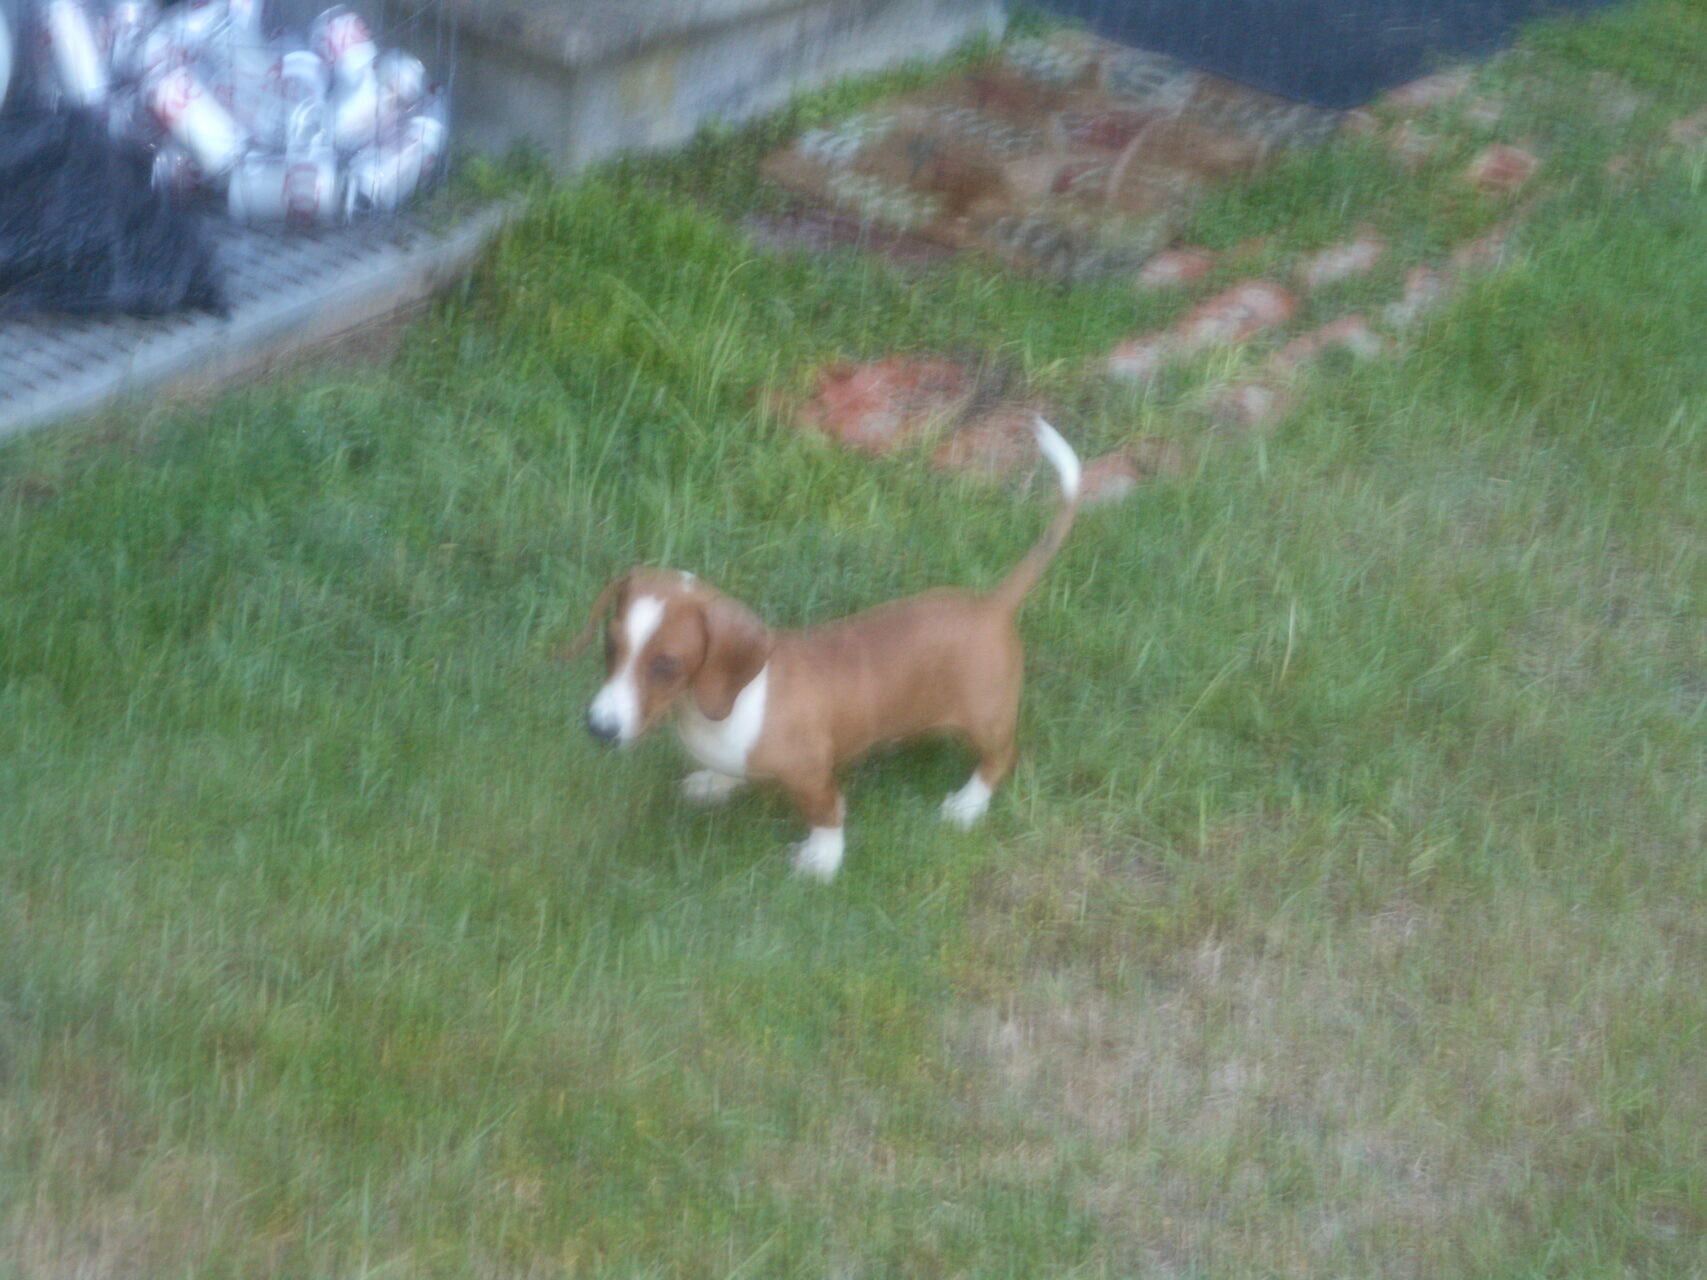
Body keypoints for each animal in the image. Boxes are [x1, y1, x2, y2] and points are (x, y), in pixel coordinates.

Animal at [562, 416, 1081, 880]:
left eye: (667, 665)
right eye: (610, 647)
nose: (598, 730)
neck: (728, 703)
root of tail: (993, 604)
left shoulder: (811, 774)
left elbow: (827, 814)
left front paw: (822, 861)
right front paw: (715, 782)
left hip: (986, 719)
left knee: (1000, 760)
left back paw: (968, 805)